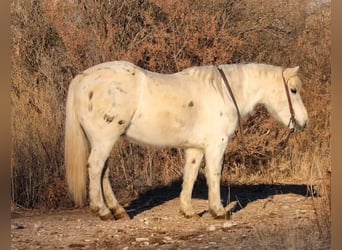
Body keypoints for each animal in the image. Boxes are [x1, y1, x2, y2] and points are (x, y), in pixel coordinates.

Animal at [63, 61, 308, 220]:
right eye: (293, 90)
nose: (304, 122)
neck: (223, 93)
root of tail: (82, 77)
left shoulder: (195, 148)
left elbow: (190, 175)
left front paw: (188, 211)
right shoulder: (216, 144)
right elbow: (213, 174)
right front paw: (218, 211)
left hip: (106, 141)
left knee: (103, 171)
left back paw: (118, 211)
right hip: (104, 139)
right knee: (95, 168)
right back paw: (103, 211)